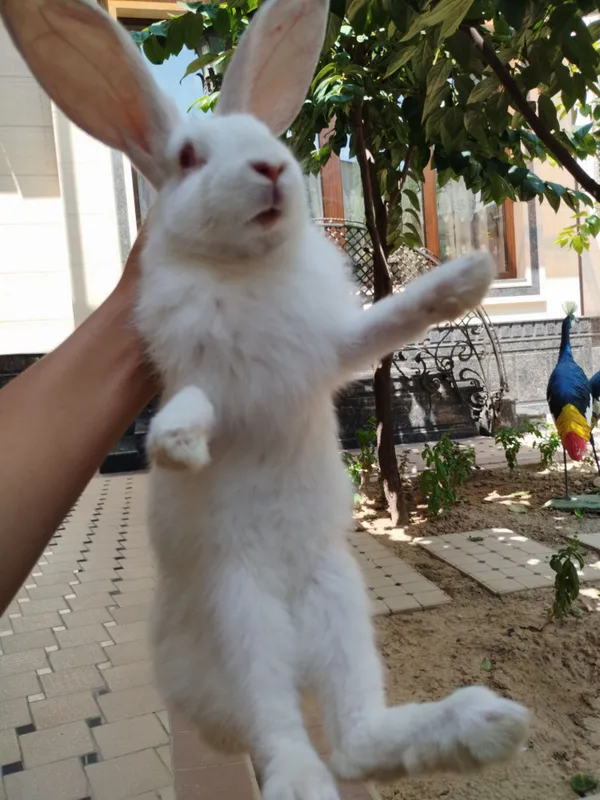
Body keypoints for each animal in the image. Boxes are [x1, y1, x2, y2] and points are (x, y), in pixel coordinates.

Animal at [2, 0, 530, 797]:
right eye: (189, 157)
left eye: (268, 138)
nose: (274, 169)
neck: (243, 272)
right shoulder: (204, 372)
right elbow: (193, 401)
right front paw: (176, 445)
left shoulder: (328, 352)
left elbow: (386, 323)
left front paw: (464, 280)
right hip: (240, 615)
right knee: (282, 726)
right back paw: (303, 778)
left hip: (337, 599)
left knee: (354, 738)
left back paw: (481, 727)